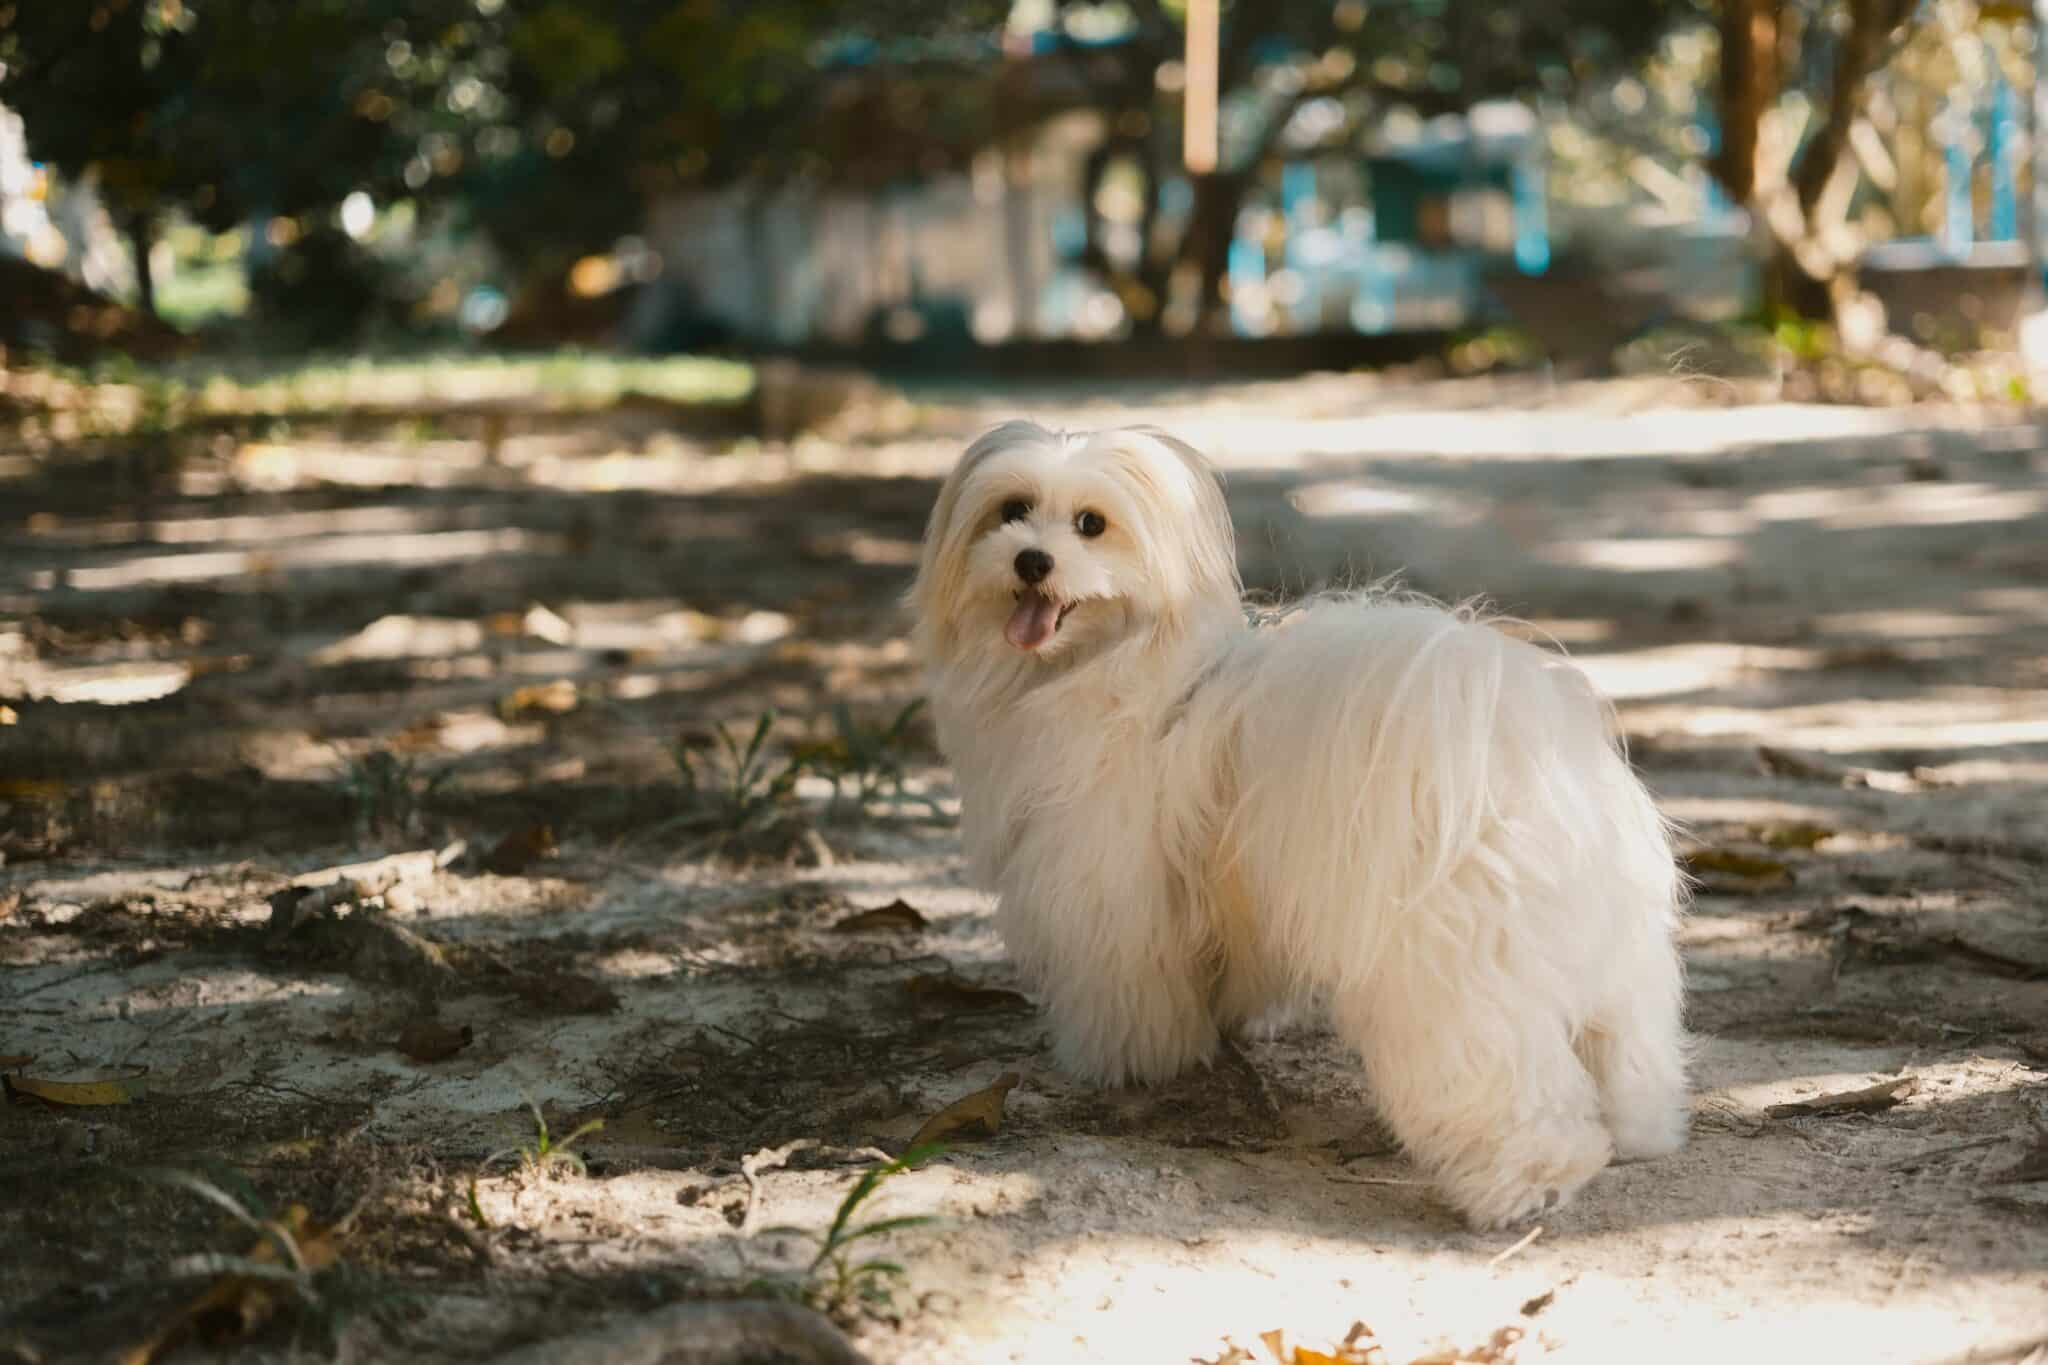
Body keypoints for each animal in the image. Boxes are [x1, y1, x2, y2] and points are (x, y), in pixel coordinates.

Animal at [913, 423, 1695, 1227]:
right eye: (1012, 509)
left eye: (1091, 524)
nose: (1032, 560)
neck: (1108, 665)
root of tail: (1510, 731)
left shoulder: (1106, 894)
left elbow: (1125, 991)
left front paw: (1123, 1063)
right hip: (1615, 949)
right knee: (1626, 1038)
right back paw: (1642, 1129)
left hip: (1456, 973)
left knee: (1504, 1078)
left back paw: (1530, 1182)